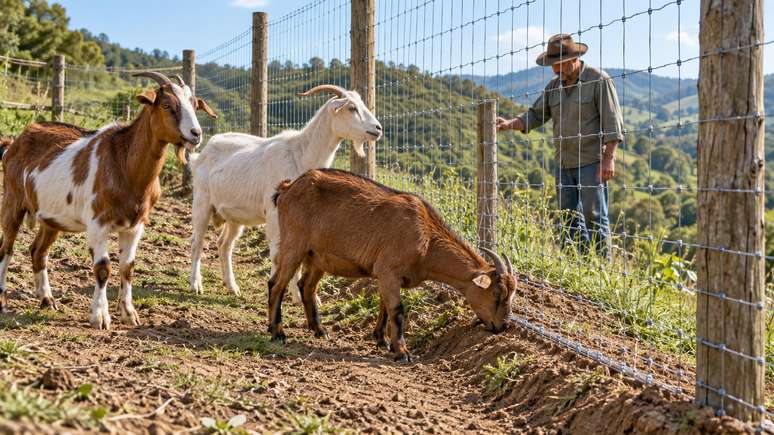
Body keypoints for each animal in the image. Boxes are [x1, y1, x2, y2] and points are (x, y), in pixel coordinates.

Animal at [0, 72, 217, 329]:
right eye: (166, 105)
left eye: (194, 105)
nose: (196, 134)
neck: (125, 165)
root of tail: (13, 144)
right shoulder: (97, 223)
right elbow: (103, 268)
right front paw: (100, 316)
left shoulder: (136, 225)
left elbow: (127, 267)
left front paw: (129, 313)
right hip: (12, 201)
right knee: (6, 248)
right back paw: (3, 299)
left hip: (51, 217)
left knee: (38, 251)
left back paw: (47, 300)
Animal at [189, 84, 382, 303]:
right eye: (351, 108)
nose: (378, 129)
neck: (301, 155)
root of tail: (202, 153)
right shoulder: (275, 213)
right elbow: (278, 254)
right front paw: (282, 292)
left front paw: (306, 297)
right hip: (202, 202)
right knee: (197, 242)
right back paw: (196, 284)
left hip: (234, 216)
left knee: (224, 245)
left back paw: (232, 287)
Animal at [268, 168, 516, 362]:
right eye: (497, 294)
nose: (502, 326)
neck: (426, 238)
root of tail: (287, 188)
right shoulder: (389, 270)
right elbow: (396, 310)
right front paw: (402, 352)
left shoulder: (385, 274)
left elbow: (384, 307)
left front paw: (382, 341)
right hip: (294, 244)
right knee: (276, 283)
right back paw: (277, 332)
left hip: (317, 256)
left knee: (306, 286)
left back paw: (320, 330)